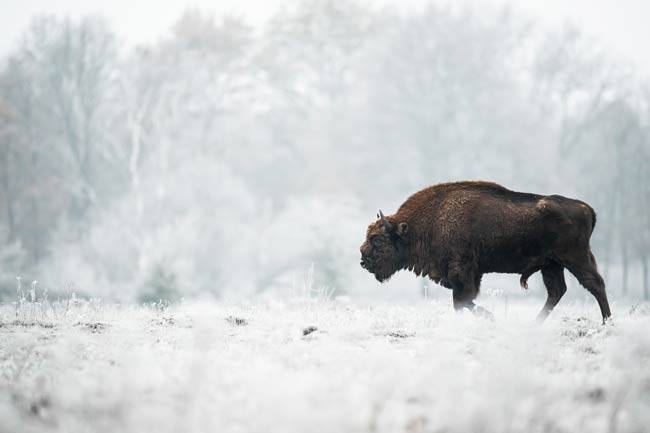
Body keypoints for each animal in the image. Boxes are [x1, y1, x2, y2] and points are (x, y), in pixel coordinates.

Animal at [362, 179, 612, 320]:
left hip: (574, 257)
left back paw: (606, 322)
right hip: (551, 264)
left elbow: (462, 299)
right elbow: (463, 300)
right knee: (557, 291)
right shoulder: (473, 273)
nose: (363, 260)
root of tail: (587, 208)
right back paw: (535, 324)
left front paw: (489, 317)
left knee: (594, 284)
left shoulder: (462, 270)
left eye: (377, 239)